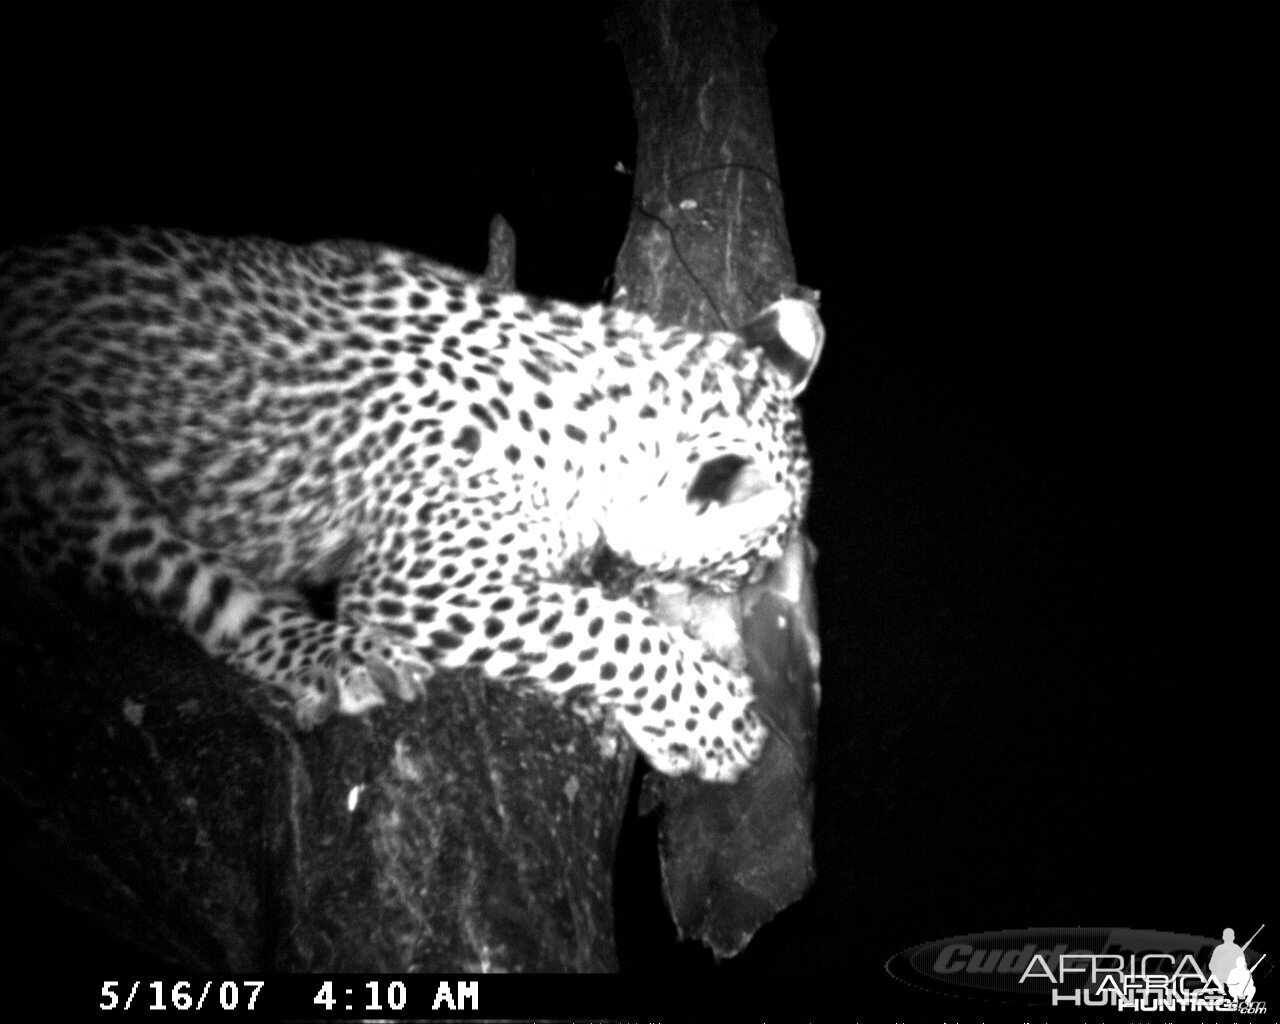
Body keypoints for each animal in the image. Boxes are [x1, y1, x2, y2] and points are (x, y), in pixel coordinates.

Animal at [0, 226, 819, 783]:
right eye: (741, 570)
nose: (752, 597)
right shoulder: (421, 581)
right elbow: (600, 630)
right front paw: (716, 720)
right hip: (58, 463)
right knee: (206, 598)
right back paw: (346, 656)